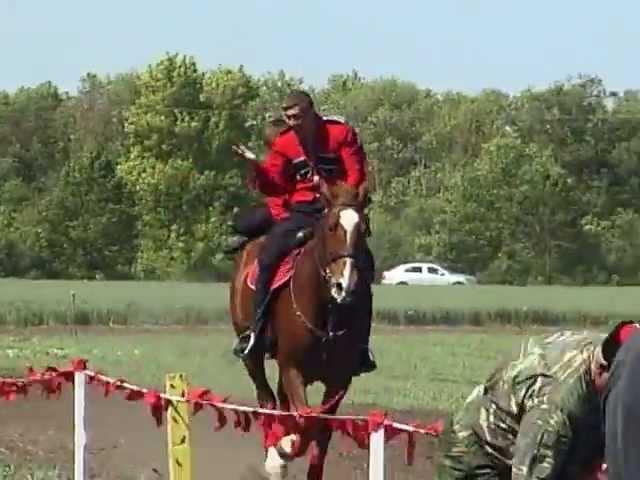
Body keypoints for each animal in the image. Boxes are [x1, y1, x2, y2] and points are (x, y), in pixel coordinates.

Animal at [230, 181, 370, 480]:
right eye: (331, 227)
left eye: (364, 229)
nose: (345, 286)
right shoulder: (293, 368)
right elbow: (305, 417)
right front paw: (283, 449)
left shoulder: (340, 379)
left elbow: (320, 427)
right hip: (253, 355)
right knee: (267, 400)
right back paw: (274, 454)